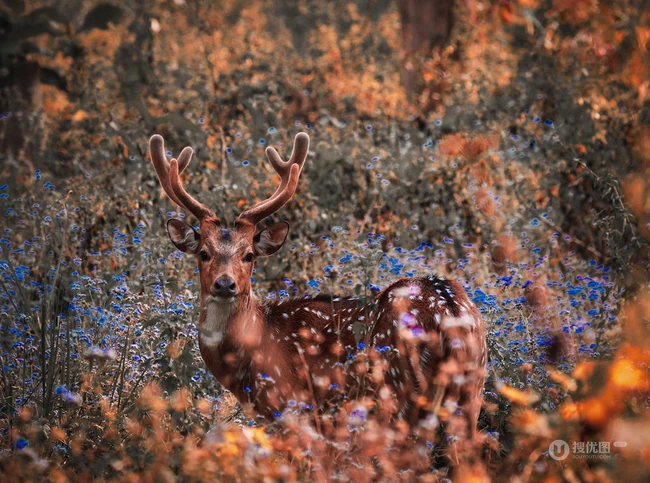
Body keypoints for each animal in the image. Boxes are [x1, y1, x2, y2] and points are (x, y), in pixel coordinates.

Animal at [149, 132, 487, 456]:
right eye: (203, 253)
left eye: (249, 255)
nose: (224, 284)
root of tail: (449, 311)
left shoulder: (292, 407)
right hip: (472, 390)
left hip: (400, 390)